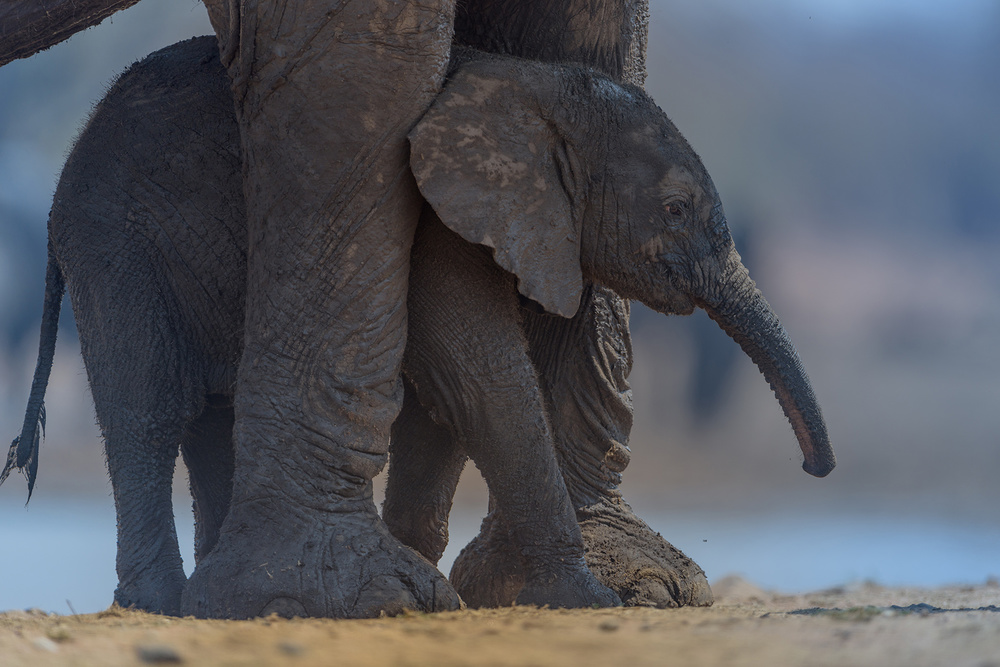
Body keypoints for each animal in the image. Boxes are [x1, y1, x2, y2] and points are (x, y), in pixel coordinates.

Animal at [5, 36, 836, 620]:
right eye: (675, 209)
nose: (816, 468)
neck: (533, 84)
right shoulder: (434, 224)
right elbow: (483, 374)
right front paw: (583, 598)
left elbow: (446, 401)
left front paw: (429, 582)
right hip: (113, 241)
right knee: (148, 409)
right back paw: (159, 604)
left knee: (213, 413)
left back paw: (207, 600)